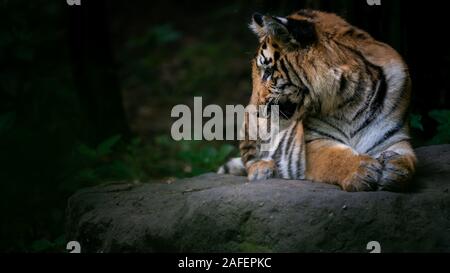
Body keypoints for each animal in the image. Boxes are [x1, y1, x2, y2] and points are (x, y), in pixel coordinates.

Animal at [218, 9, 414, 191]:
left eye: (268, 72)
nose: (253, 108)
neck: (352, 98)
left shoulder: (394, 136)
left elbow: (408, 160)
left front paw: (395, 171)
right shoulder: (315, 142)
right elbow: (336, 158)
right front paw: (362, 170)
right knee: (248, 158)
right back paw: (263, 169)